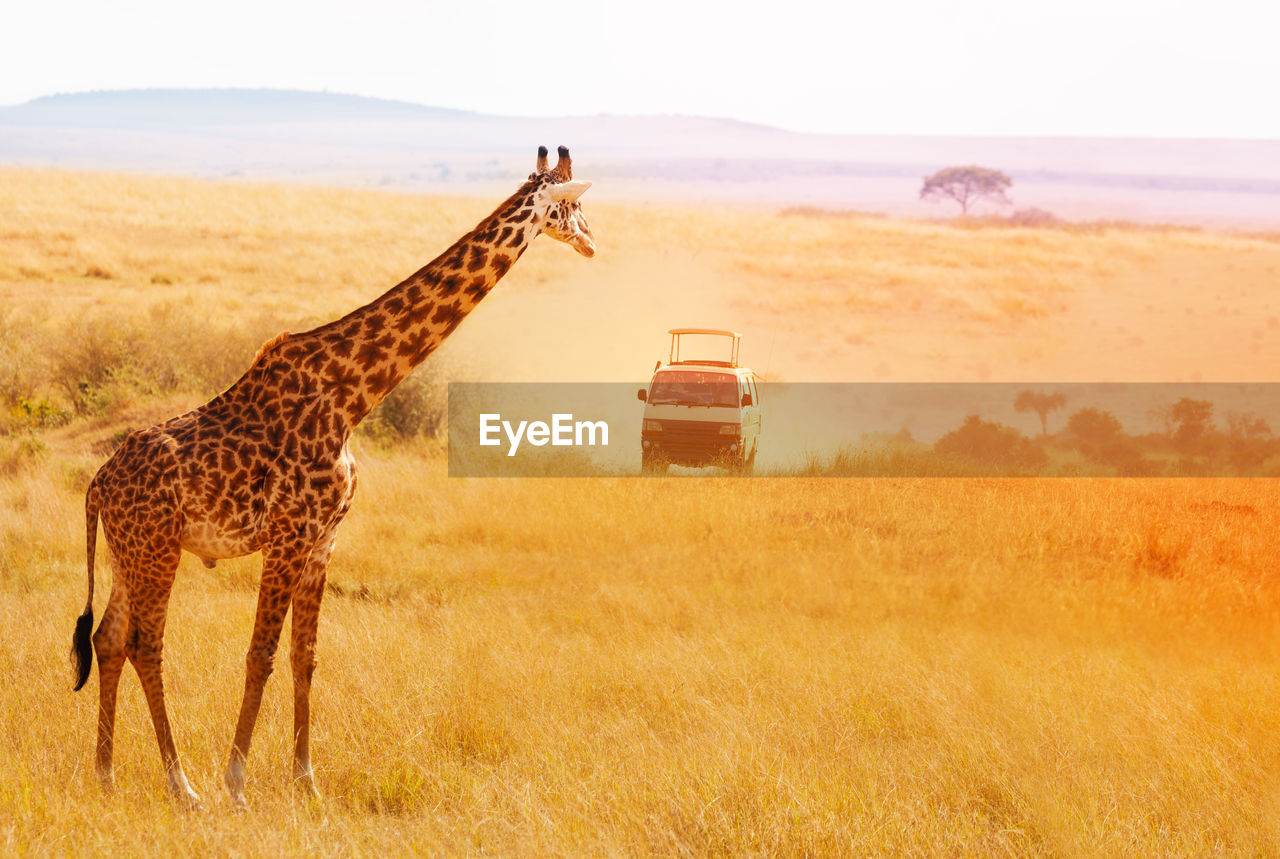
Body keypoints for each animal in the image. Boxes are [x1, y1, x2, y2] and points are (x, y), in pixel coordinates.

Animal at [67, 144, 591, 809]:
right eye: (572, 207)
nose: (592, 242)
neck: (352, 395)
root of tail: (96, 486)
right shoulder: (288, 533)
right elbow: (260, 654)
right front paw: (237, 785)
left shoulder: (323, 540)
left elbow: (304, 658)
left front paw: (306, 781)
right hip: (157, 549)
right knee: (145, 644)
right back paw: (182, 786)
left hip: (127, 551)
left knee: (108, 639)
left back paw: (105, 775)